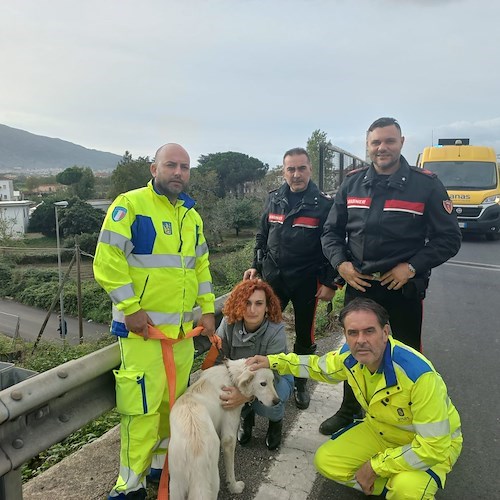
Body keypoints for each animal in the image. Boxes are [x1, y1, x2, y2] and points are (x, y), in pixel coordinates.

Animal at [167, 358, 278, 498]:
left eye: (272, 381)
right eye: (263, 384)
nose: (277, 401)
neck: (231, 377)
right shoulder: (228, 438)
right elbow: (230, 469)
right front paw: (234, 487)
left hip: (175, 485)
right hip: (213, 481)